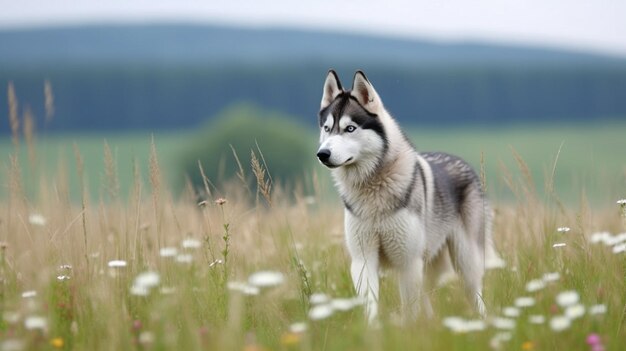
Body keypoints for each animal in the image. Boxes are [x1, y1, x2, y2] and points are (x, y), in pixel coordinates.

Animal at [314, 69, 500, 324]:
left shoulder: (407, 262)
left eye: (350, 128)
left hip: (465, 261)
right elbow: (370, 304)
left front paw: (409, 330)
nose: (322, 154)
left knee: (475, 295)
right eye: (327, 128)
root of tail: (462, 162)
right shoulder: (363, 260)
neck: (373, 189)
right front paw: (373, 331)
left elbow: (410, 308)